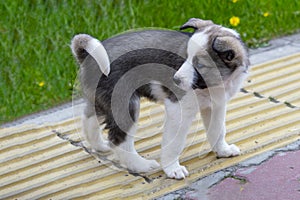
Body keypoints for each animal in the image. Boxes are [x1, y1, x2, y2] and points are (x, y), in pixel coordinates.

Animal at [71, 18, 250, 179]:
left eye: (200, 65)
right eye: (185, 57)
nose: (175, 80)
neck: (212, 86)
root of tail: (88, 57)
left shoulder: (216, 106)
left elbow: (217, 130)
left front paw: (223, 150)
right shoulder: (178, 109)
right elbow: (174, 143)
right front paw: (172, 169)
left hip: (101, 100)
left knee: (88, 118)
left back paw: (100, 146)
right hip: (126, 104)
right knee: (118, 140)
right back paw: (141, 165)